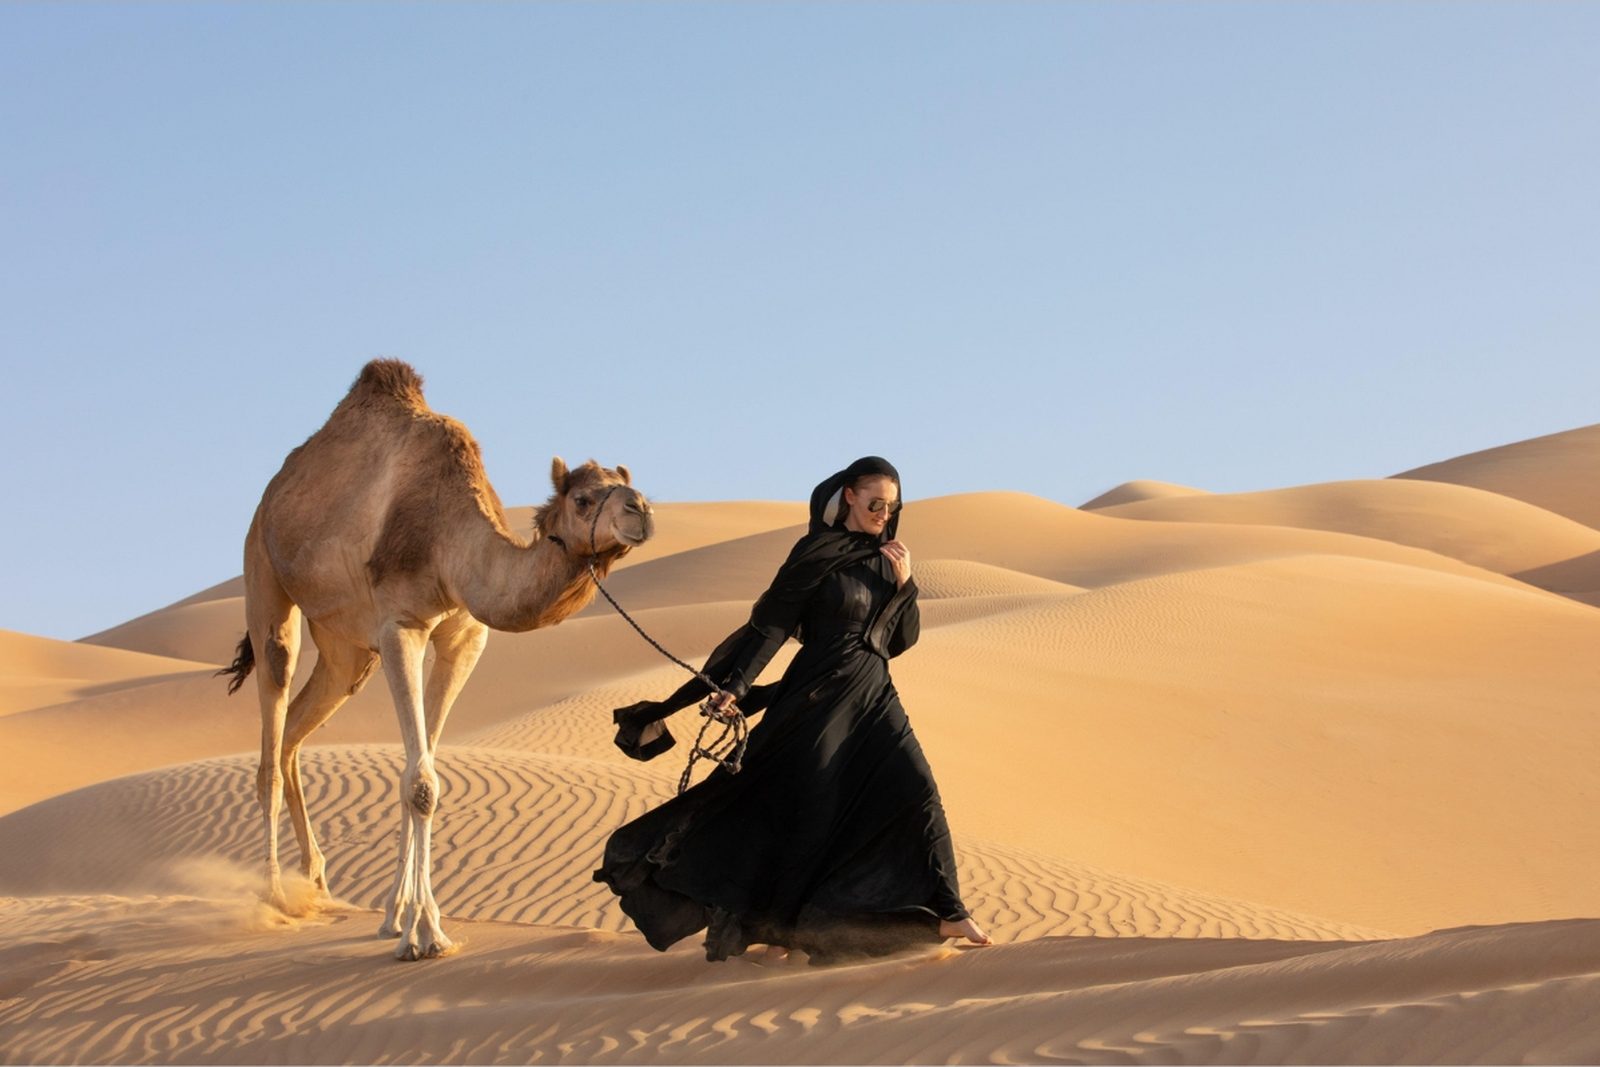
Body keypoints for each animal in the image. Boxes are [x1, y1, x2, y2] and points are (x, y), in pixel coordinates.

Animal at [219, 359, 652, 960]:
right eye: (585, 499)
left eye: (628, 485)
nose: (642, 511)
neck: (450, 541)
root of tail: (271, 495)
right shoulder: (401, 626)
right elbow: (420, 782)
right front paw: (425, 934)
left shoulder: (464, 637)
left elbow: (422, 769)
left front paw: (397, 916)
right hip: (263, 571)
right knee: (272, 714)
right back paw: (274, 896)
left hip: (346, 651)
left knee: (293, 738)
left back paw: (317, 883)